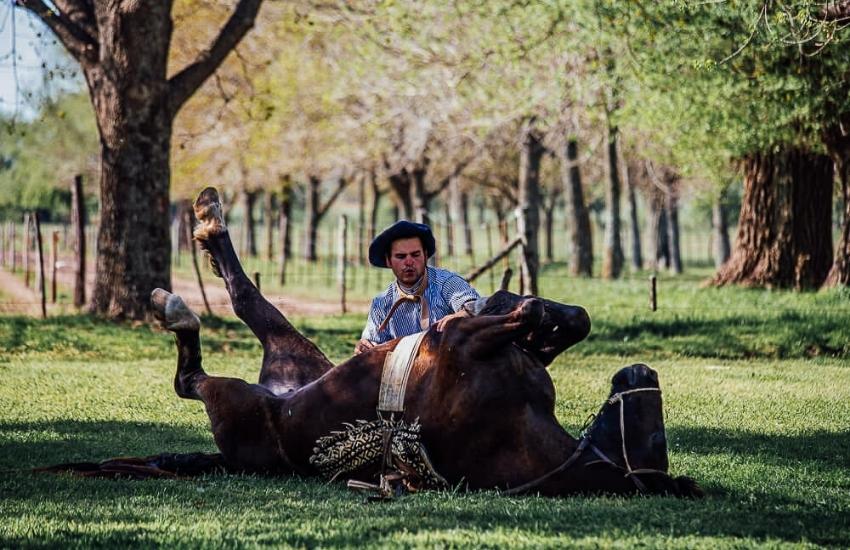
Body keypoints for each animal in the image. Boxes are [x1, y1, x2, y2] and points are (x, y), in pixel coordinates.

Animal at [43, 189, 700, 500]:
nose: (640, 374)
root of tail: (276, 396)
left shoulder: (458, 342)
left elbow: (529, 312)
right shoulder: (475, 340)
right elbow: (553, 315)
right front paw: (529, 307)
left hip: (243, 394)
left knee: (198, 368)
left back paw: (180, 296)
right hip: (298, 357)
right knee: (246, 304)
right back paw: (207, 220)